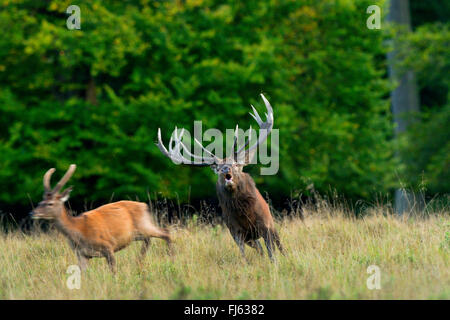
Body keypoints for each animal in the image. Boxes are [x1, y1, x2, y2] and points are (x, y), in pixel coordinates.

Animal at [29, 165, 171, 272]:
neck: (79, 231)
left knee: (165, 233)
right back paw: (139, 261)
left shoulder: (108, 246)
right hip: (136, 233)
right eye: (40, 201)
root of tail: (144, 205)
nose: (32, 213)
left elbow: (113, 271)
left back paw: (171, 257)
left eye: (50, 203)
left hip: (144, 224)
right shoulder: (81, 254)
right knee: (149, 239)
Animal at [156, 94, 282, 260]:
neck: (244, 214)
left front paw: (275, 263)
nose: (225, 169)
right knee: (260, 249)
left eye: (235, 164)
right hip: (251, 238)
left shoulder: (265, 224)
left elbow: (272, 254)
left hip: (272, 224)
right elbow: (244, 256)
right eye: (217, 168)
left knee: (279, 246)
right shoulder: (236, 232)